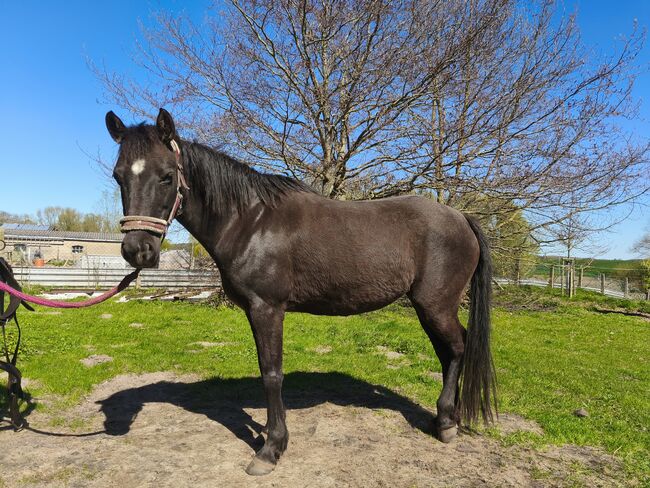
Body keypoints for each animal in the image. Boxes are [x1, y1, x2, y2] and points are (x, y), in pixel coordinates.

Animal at [105, 108, 497, 476]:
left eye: (167, 175)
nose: (138, 250)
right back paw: (447, 417)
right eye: (118, 176)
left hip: (435, 305)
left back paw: (446, 423)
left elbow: (272, 374)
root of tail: (461, 218)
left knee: (456, 349)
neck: (250, 222)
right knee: (448, 353)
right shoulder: (255, 311)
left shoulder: (267, 309)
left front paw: (271, 449)